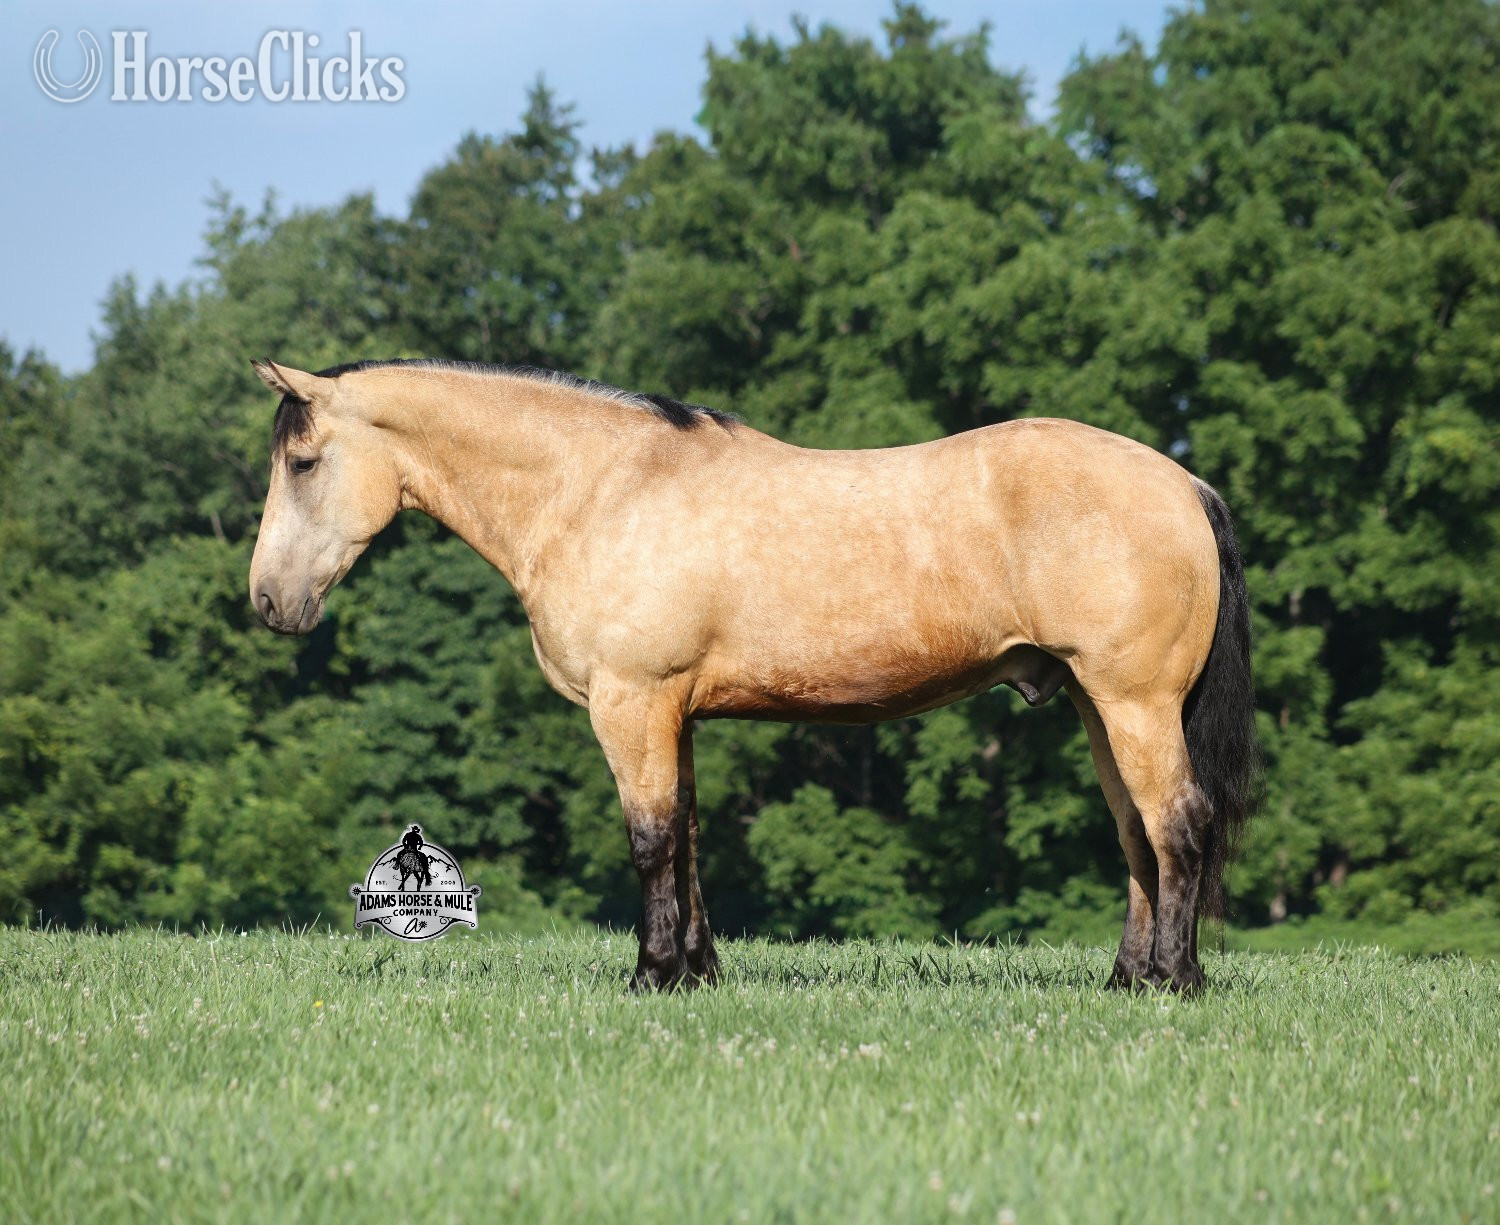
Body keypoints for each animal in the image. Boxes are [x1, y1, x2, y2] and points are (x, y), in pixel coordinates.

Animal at [247, 357, 1258, 993]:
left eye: (303, 461)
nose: (268, 599)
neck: (604, 489)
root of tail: (1184, 484)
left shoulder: (632, 703)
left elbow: (651, 838)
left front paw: (652, 975)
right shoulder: (675, 713)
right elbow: (689, 837)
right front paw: (697, 971)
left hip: (1133, 703)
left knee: (1177, 825)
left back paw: (1173, 980)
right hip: (1097, 705)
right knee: (1137, 835)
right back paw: (1128, 978)